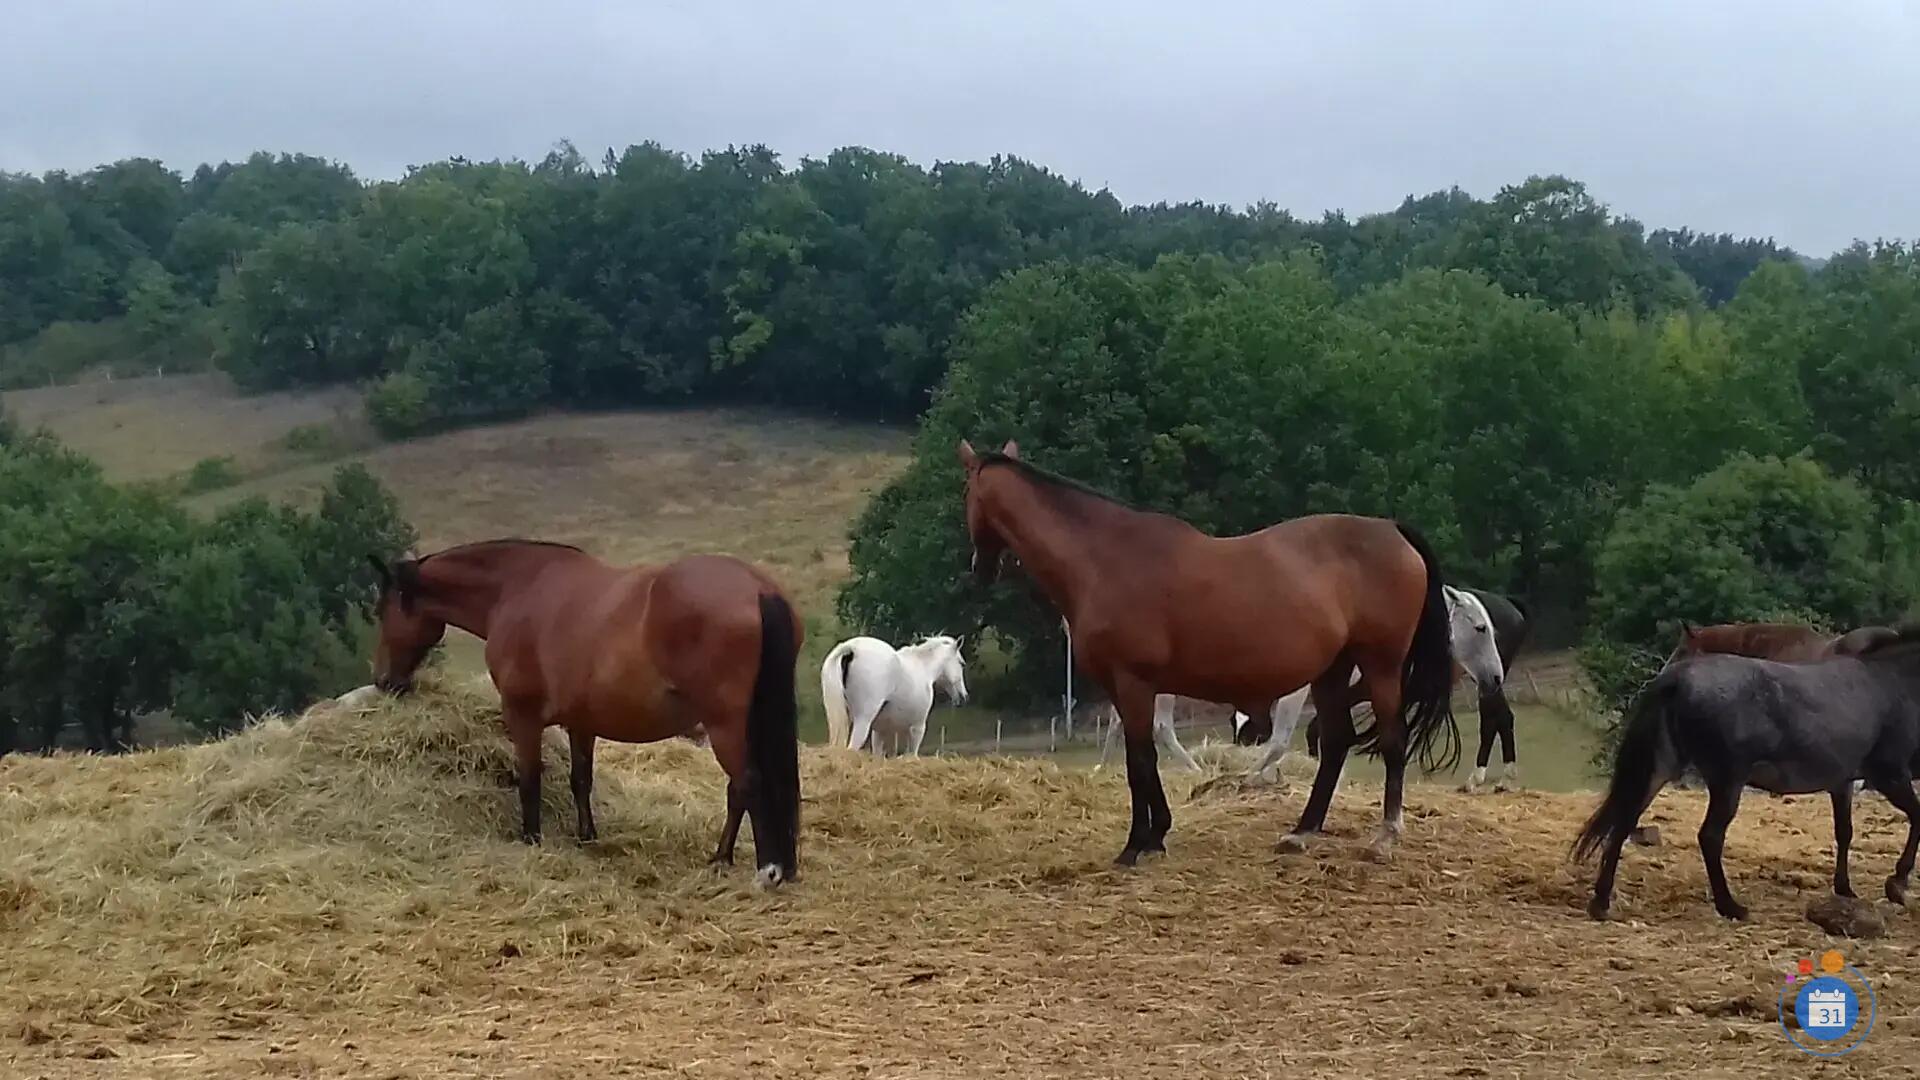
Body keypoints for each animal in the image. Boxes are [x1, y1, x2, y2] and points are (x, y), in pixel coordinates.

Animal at [368, 539, 803, 886]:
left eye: (382, 610)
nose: (385, 681)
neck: (517, 589)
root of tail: (757, 588)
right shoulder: (581, 721)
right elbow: (580, 779)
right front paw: (586, 836)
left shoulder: (522, 716)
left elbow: (530, 778)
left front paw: (531, 838)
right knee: (741, 788)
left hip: (725, 724)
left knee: (747, 783)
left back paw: (759, 867)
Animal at [821, 634, 969, 757]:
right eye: (961, 663)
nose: (963, 696)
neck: (923, 668)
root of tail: (851, 648)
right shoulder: (917, 728)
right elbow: (912, 755)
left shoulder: (879, 732)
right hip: (863, 720)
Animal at [957, 439, 1457, 864]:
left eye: (967, 496)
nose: (980, 567)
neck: (1101, 559)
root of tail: (1393, 530)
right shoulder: (1126, 689)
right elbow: (1141, 756)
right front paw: (1156, 834)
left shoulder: (1133, 684)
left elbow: (1140, 759)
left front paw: (1138, 843)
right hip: (1333, 670)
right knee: (1335, 743)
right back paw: (1302, 831)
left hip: (1381, 667)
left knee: (1393, 741)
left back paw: (1385, 836)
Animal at [1573, 623, 1920, 921]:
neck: (1887, 682)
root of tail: (1676, 680)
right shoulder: (1888, 774)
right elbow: (1917, 818)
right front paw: (1897, 882)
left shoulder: (1843, 781)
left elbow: (1844, 831)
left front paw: (1846, 888)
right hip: (1727, 781)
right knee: (1710, 836)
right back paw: (1730, 906)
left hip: (1661, 769)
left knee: (1623, 823)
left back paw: (1601, 902)